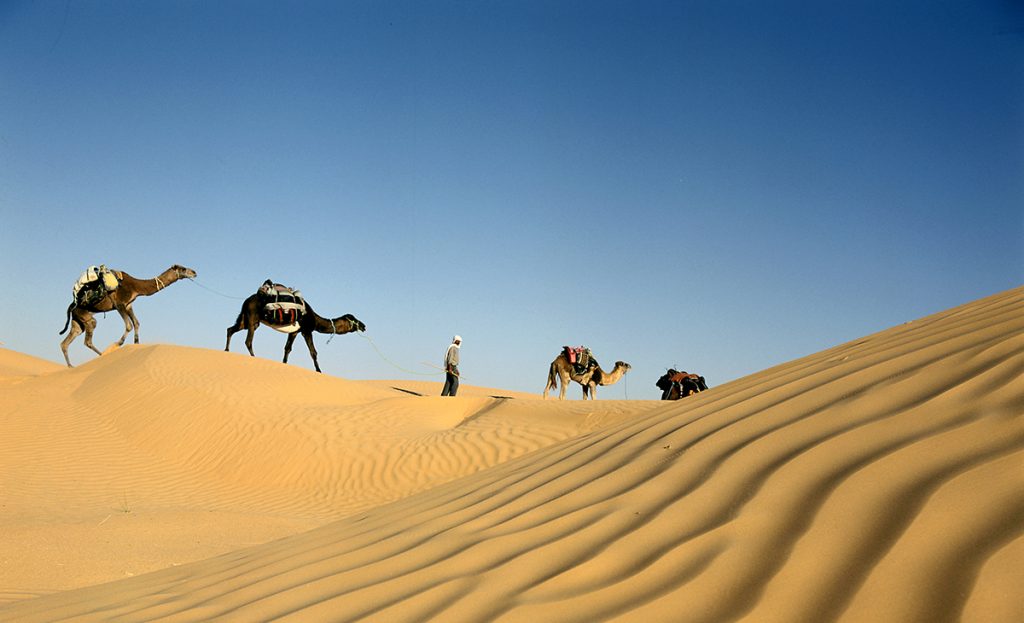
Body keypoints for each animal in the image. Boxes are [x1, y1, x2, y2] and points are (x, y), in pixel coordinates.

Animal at [58, 261, 197, 364]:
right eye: (183, 269)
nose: (194, 272)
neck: (136, 286)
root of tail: (73, 306)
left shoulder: (129, 305)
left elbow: (136, 323)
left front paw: (136, 343)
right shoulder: (119, 304)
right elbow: (129, 325)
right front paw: (118, 343)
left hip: (78, 321)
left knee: (66, 342)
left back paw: (71, 366)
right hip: (85, 316)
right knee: (88, 338)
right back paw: (103, 354)